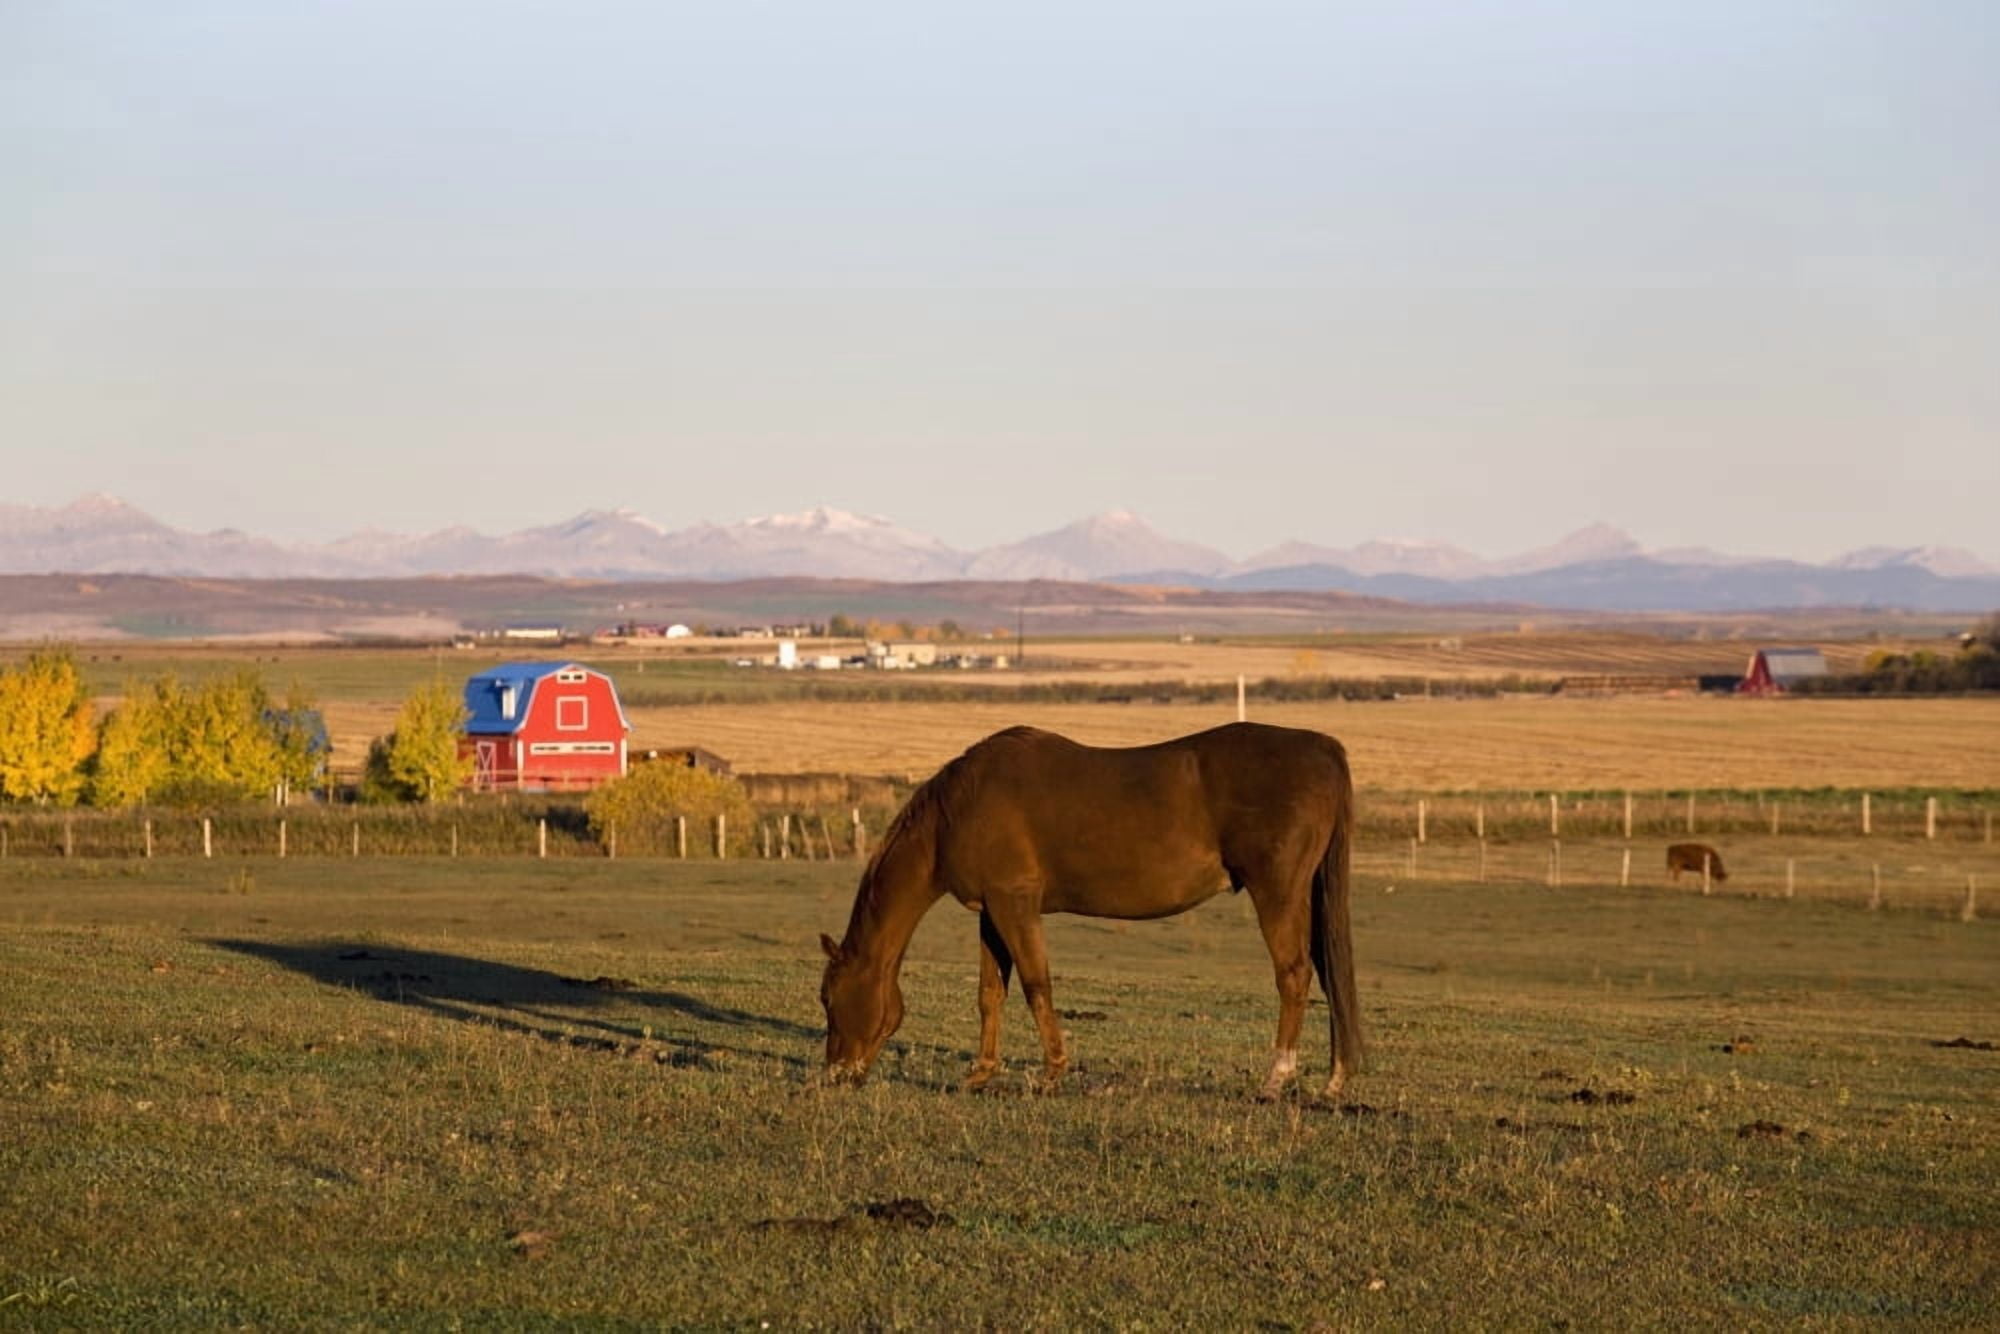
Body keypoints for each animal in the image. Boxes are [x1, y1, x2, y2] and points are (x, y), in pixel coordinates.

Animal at [817, 722, 1362, 1101]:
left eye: (828, 998)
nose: (835, 1075)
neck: (957, 811)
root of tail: (1324, 750)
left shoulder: (1015, 903)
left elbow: (1037, 985)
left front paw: (1050, 1073)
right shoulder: (991, 911)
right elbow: (990, 994)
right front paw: (981, 1073)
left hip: (1277, 892)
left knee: (1294, 975)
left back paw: (1275, 1079)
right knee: (1326, 973)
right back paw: (1336, 1080)